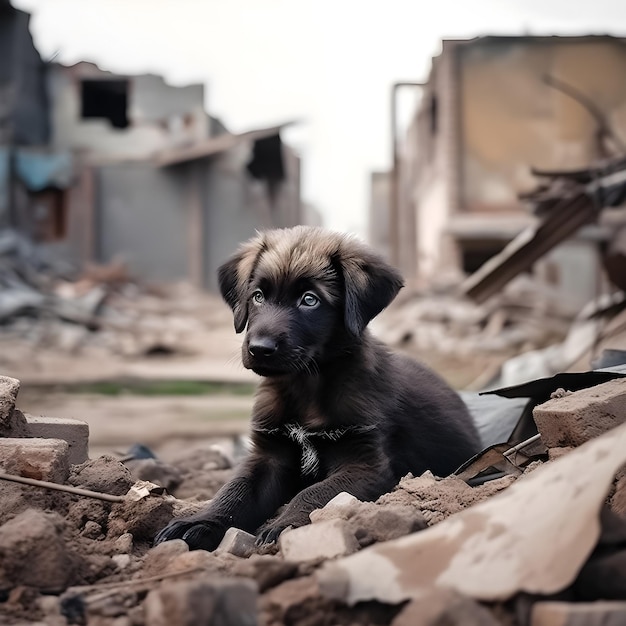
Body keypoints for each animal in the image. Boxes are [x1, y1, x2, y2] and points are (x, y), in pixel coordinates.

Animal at [154, 227, 480, 548]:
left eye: (310, 300)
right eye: (257, 296)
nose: (259, 349)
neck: (305, 387)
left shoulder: (364, 464)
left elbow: (314, 493)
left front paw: (283, 525)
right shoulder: (268, 456)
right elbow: (234, 493)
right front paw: (199, 523)